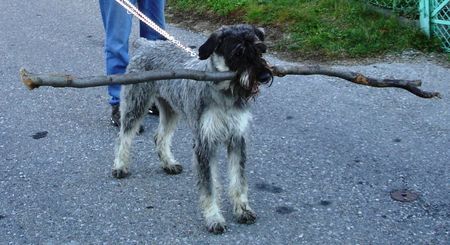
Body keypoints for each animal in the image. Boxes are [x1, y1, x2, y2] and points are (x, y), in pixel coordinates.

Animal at [112, 24, 274, 234]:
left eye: (260, 49)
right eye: (238, 52)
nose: (264, 76)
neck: (225, 95)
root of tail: (146, 44)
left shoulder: (237, 139)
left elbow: (238, 180)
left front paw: (243, 210)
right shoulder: (205, 143)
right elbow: (209, 186)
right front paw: (214, 217)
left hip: (170, 108)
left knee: (160, 136)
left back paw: (168, 163)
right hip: (136, 104)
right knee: (124, 136)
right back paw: (120, 166)